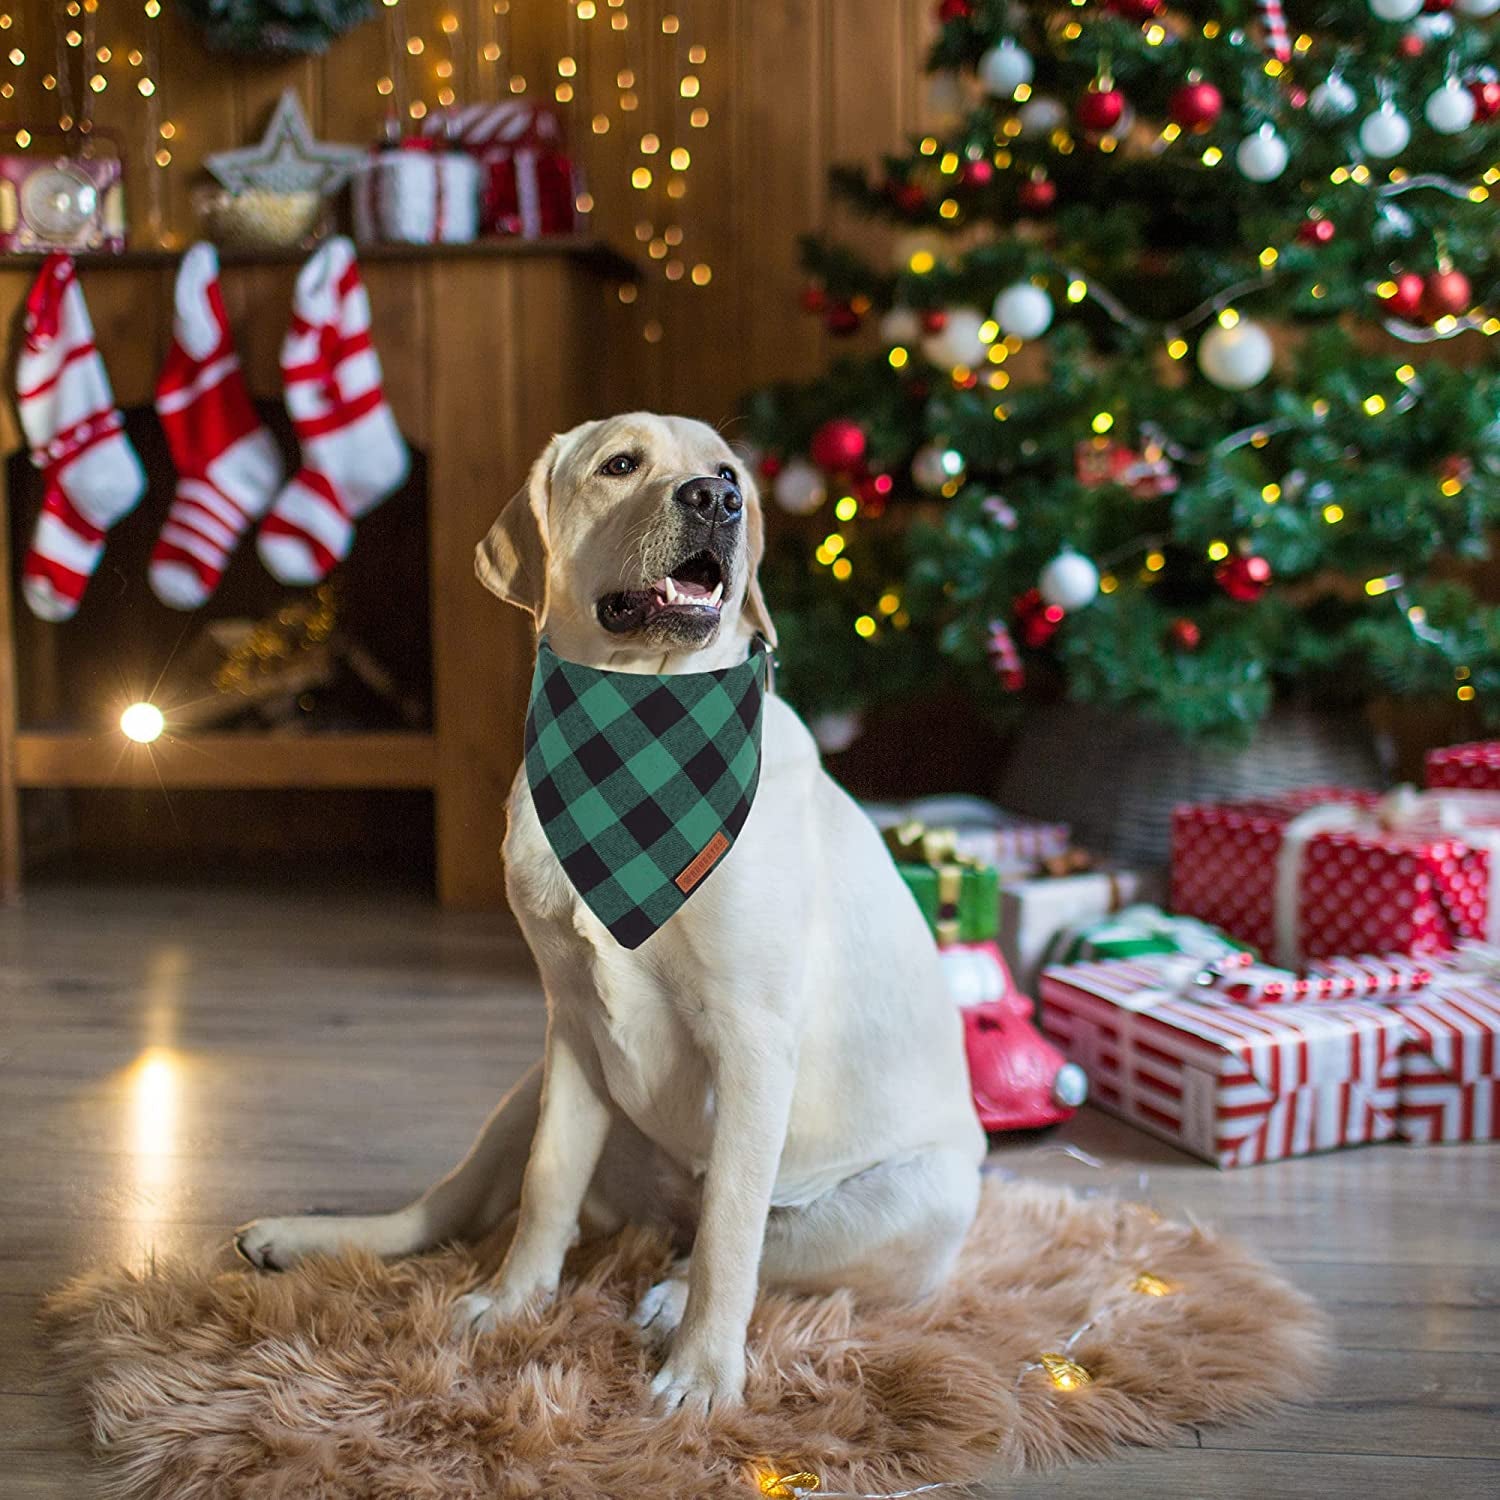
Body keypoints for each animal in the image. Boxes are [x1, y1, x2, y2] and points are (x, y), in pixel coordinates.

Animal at [237, 414, 984, 1416]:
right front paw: (512, 1303)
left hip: (923, 1196)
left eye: (727, 471)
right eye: (620, 465)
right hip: (526, 1088)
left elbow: (734, 1234)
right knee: (449, 1210)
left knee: (755, 1249)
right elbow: (546, 1189)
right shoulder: (572, 1025)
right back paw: (312, 1237)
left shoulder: (755, 1041)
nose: (717, 501)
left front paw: (703, 1375)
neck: (636, 720)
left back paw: (669, 1297)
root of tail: (654, 1216)